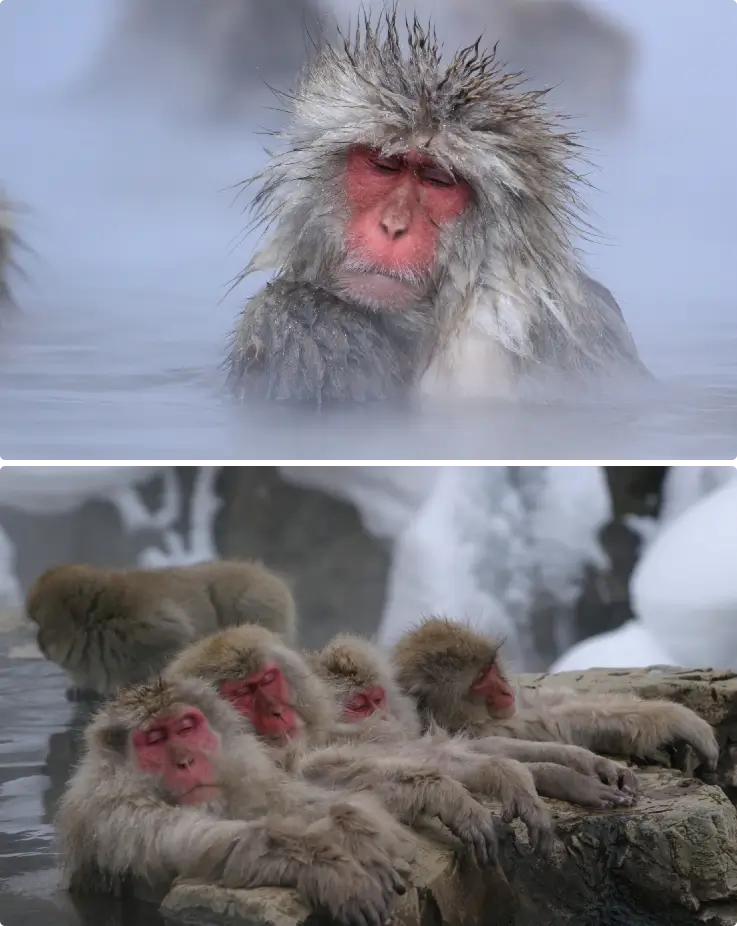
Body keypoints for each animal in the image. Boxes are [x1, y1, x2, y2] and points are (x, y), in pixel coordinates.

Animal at [56, 674, 415, 926]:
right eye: (155, 739)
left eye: (185, 729)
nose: (185, 761)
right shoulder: (118, 817)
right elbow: (196, 846)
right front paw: (328, 866)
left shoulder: (247, 779)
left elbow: (290, 799)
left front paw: (355, 831)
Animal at [391, 617, 720, 774]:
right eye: (480, 680)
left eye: (490, 668)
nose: (504, 690)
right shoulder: (480, 728)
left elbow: (557, 714)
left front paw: (677, 717)